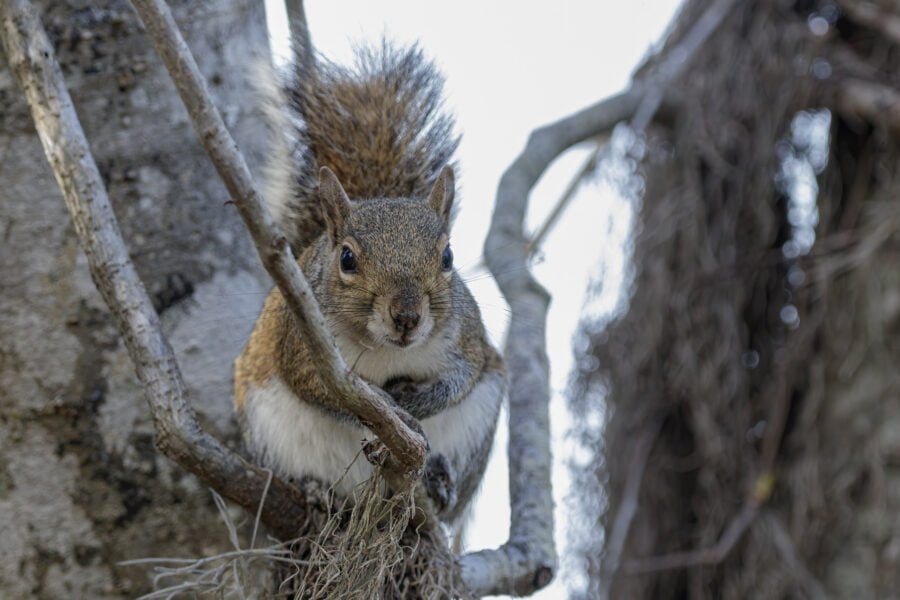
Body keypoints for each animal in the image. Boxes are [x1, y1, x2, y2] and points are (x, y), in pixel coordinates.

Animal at [234, 44, 506, 528]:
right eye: (346, 258)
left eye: (448, 257)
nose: (407, 316)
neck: (386, 352)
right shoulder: (303, 346)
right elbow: (320, 388)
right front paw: (393, 407)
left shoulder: (468, 339)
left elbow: (461, 378)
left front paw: (416, 402)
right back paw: (316, 490)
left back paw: (438, 481)